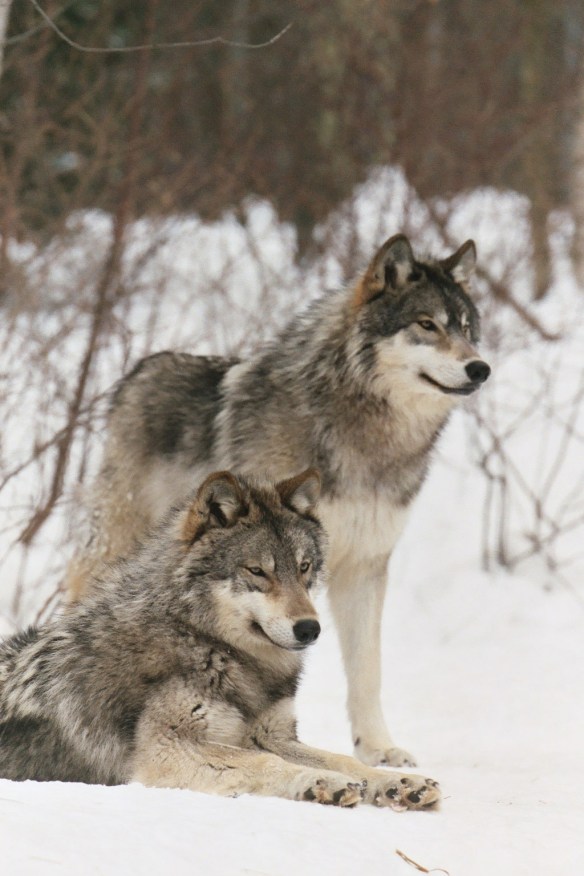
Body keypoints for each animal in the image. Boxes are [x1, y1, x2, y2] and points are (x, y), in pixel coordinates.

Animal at [0, 470, 440, 810]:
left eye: (304, 567)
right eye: (257, 571)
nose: (309, 629)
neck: (209, 643)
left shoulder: (273, 735)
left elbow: (341, 759)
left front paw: (396, 782)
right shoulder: (166, 749)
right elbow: (264, 763)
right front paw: (319, 783)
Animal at [67, 233, 490, 768]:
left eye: (467, 329)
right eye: (426, 324)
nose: (480, 367)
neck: (366, 440)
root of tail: (142, 368)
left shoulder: (363, 564)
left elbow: (367, 670)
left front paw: (378, 750)